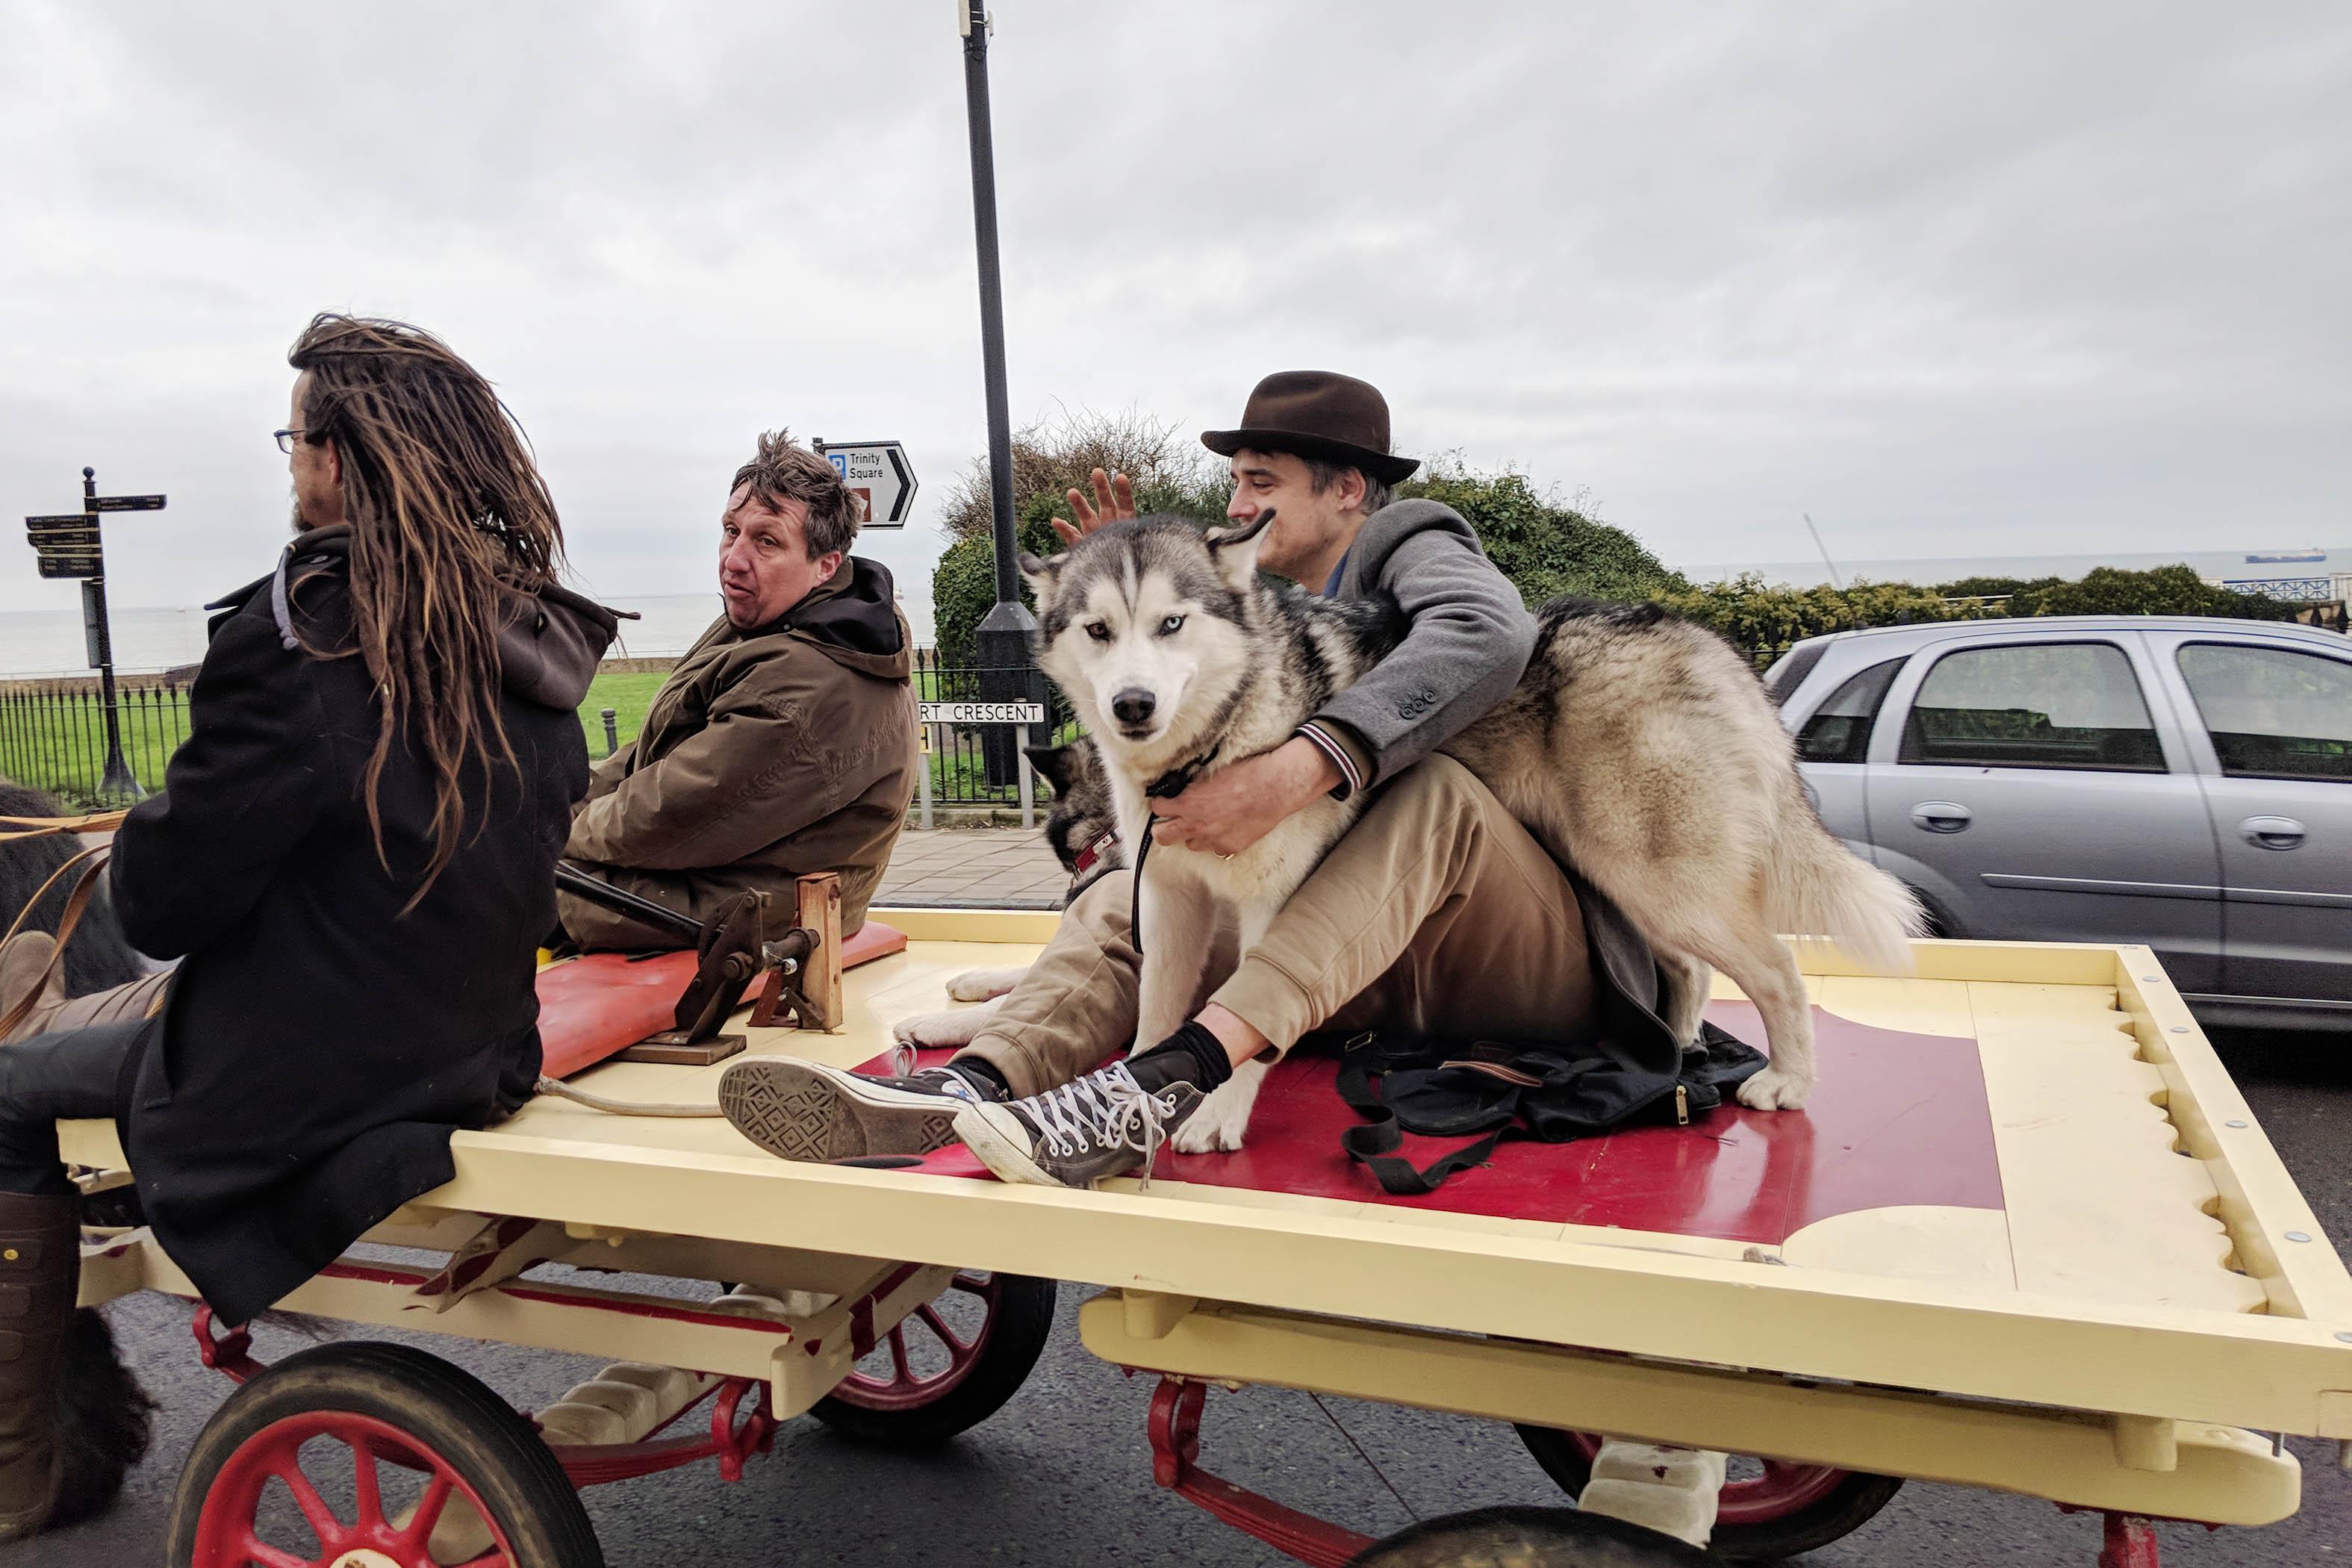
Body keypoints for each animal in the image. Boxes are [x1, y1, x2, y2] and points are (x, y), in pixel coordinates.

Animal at [1021, 514, 1919, 1151]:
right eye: (1098, 631)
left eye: (1171, 624)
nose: (1132, 705)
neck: (1215, 744)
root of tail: (1702, 639)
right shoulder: (1169, 897)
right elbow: (1156, 1016)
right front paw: (1132, 1104)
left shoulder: (1275, 900)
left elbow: (1251, 1007)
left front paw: (1220, 1113)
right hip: (1636, 883)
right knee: (1692, 969)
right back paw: (1680, 1041)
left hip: (1663, 881)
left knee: (1780, 971)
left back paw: (1789, 1081)